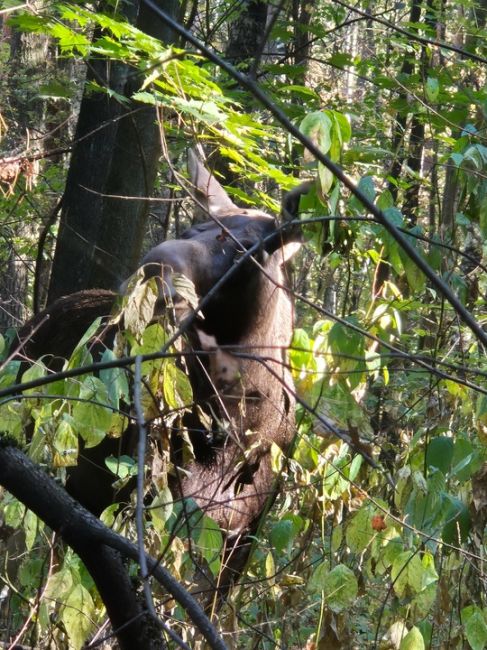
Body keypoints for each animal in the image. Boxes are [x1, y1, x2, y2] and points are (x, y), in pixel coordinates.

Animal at [13, 149, 308, 596]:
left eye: (246, 249)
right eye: (189, 227)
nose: (154, 268)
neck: (236, 423)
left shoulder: (243, 535)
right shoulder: (146, 505)